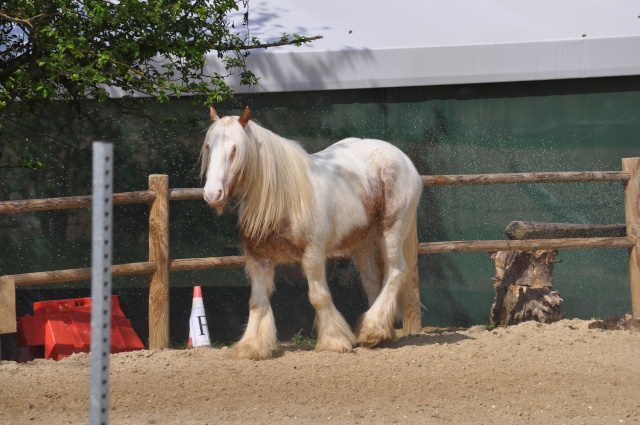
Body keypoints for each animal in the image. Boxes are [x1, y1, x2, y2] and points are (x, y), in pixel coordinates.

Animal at [202, 107, 422, 358]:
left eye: (234, 149)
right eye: (208, 146)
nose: (212, 194)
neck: (283, 199)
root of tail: (402, 158)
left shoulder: (313, 254)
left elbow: (318, 296)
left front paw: (334, 341)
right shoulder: (258, 259)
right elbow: (257, 301)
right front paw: (252, 347)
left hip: (392, 230)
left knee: (396, 271)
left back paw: (372, 330)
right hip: (362, 244)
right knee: (372, 280)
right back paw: (379, 333)